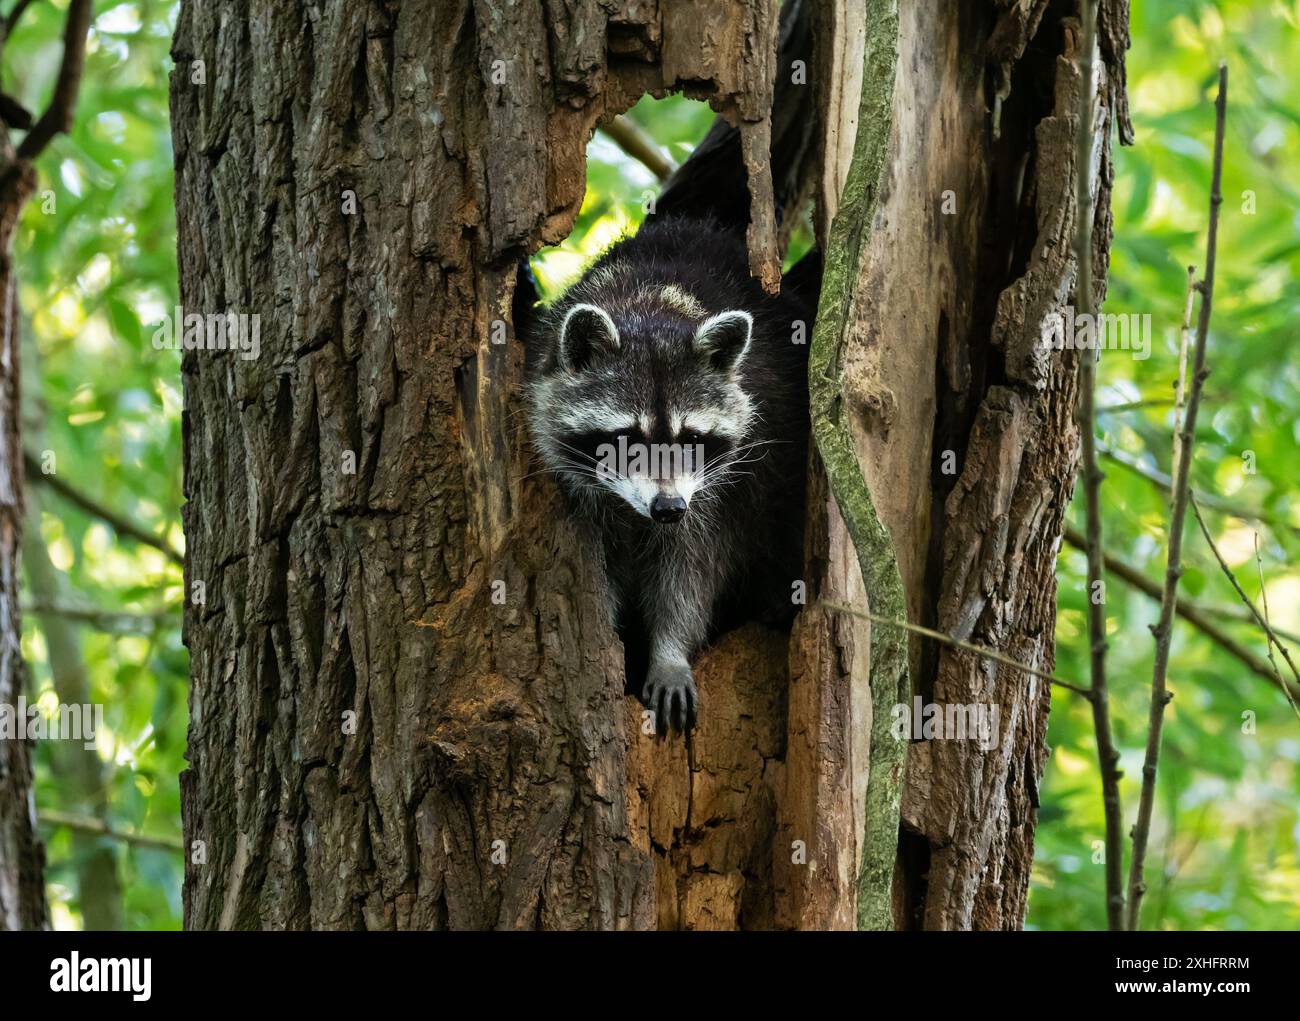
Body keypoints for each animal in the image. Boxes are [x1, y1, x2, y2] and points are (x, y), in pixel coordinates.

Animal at [526, 216, 815, 734]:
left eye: (690, 440)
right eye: (628, 439)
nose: (667, 508)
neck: (651, 306)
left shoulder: (716, 497)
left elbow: (691, 571)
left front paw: (670, 652)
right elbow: (600, 576)